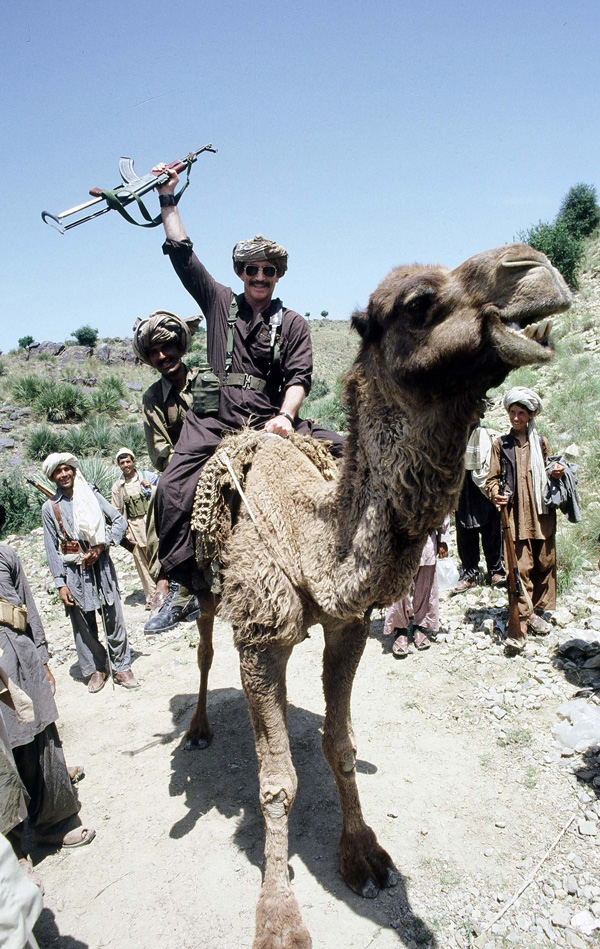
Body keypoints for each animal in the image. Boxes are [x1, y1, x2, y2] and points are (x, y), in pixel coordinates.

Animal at [183, 244, 572, 948]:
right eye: (419, 303)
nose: (534, 268)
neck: (312, 540)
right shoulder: (259, 637)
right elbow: (276, 782)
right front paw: (278, 916)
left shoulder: (347, 626)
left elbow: (340, 745)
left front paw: (364, 856)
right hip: (203, 590)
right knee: (202, 651)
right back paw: (197, 728)